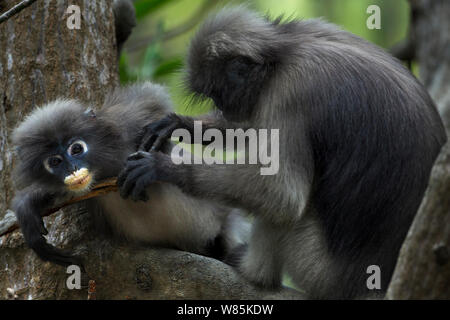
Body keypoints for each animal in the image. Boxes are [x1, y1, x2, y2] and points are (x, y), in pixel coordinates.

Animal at [11, 80, 250, 268]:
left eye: (76, 149)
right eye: (55, 161)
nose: (72, 169)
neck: (104, 168)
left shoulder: (124, 123)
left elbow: (152, 97)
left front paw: (158, 157)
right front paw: (26, 207)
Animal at [118, 6, 446, 298]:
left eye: (217, 92)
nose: (223, 107)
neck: (284, 50)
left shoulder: (289, 93)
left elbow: (281, 195)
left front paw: (164, 167)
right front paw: (178, 124)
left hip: (316, 268)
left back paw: (252, 271)